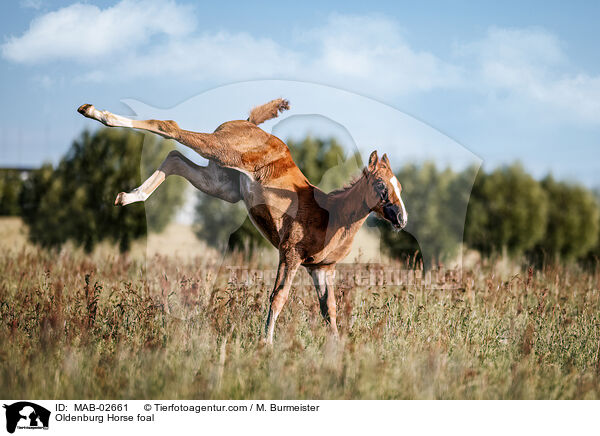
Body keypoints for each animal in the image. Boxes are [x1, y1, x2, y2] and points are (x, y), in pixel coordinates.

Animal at [77, 99, 406, 344]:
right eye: (380, 184)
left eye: (399, 186)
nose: (401, 219)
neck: (333, 215)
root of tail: (248, 123)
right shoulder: (290, 254)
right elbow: (279, 297)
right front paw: (266, 343)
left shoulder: (321, 268)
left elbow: (330, 311)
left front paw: (336, 350)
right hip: (222, 152)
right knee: (170, 128)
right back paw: (94, 113)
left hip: (221, 183)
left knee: (174, 158)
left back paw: (128, 196)